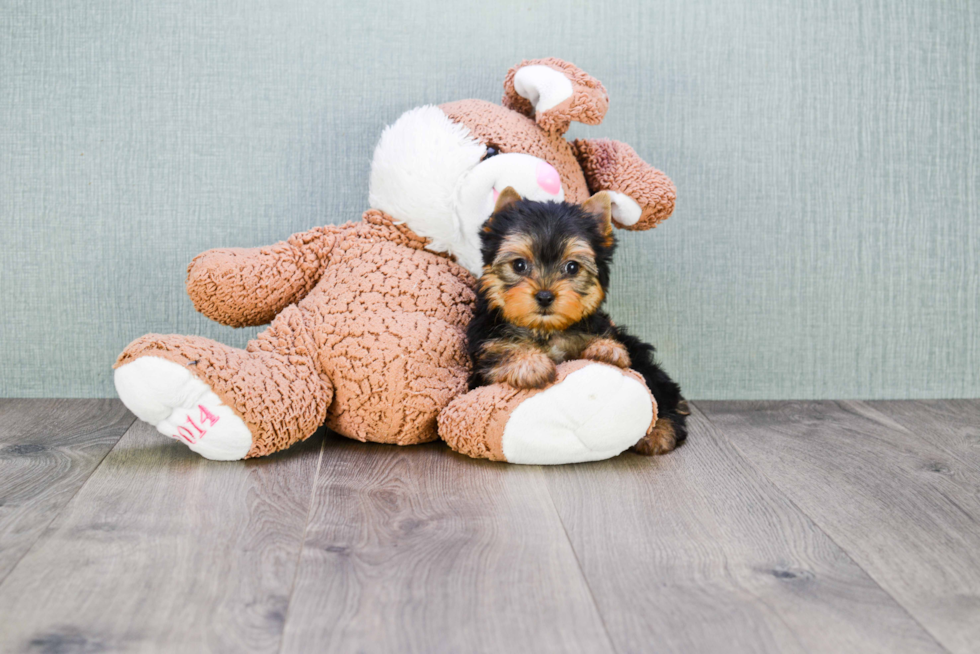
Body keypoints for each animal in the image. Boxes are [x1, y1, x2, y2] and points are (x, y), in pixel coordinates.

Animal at [468, 190, 688, 456]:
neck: (545, 330)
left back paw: (659, 431)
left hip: (644, 362)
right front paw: (530, 364)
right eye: (519, 265)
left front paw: (606, 349)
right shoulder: (484, 350)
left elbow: (604, 340)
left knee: (657, 390)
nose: (545, 296)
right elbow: (501, 352)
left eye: (572, 267)